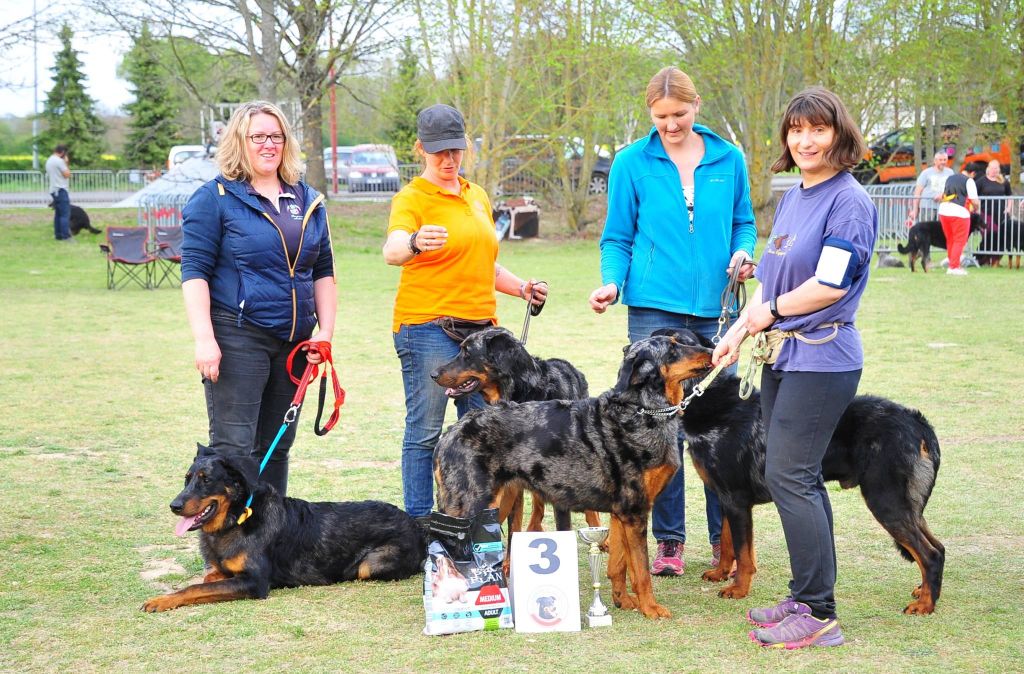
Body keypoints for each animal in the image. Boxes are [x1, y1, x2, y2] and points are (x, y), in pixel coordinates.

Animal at [141, 448, 423, 610]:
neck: (238, 516)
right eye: (186, 480)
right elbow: (206, 581)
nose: (174, 506)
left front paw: (160, 600)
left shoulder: (255, 582)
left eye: (206, 480)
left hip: (369, 566)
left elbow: (196, 588)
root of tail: (414, 523)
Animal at [432, 333, 712, 618]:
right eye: (673, 349)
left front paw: (623, 601)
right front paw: (651, 608)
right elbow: (641, 570)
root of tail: (451, 432)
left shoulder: (622, 513)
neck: (641, 410)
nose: (712, 351)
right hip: (469, 508)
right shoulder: (635, 511)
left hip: (495, 505)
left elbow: (619, 565)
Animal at [655, 327, 942, 614]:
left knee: (931, 554)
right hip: (908, 504)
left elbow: (743, 554)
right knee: (937, 546)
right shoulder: (725, 498)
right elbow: (728, 544)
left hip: (885, 500)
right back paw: (924, 591)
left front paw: (738, 589)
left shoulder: (736, 500)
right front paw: (721, 574)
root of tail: (916, 421)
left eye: (676, 345)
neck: (708, 398)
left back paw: (925, 605)